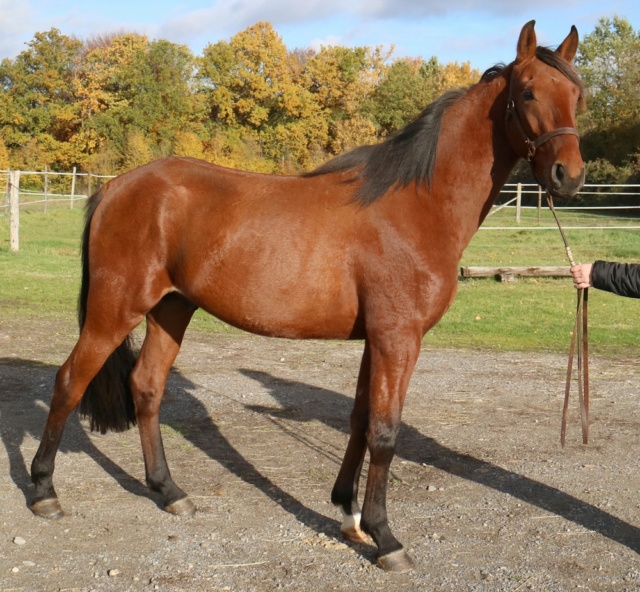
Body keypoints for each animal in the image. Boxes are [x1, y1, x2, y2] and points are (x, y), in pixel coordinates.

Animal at [32, 20, 588, 572]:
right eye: (528, 91)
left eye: (577, 96)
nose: (570, 175)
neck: (417, 204)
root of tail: (116, 187)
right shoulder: (398, 338)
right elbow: (386, 431)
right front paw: (386, 537)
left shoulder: (376, 340)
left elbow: (360, 420)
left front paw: (348, 511)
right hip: (115, 309)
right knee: (70, 381)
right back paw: (43, 491)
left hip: (171, 308)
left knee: (146, 386)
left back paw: (169, 491)